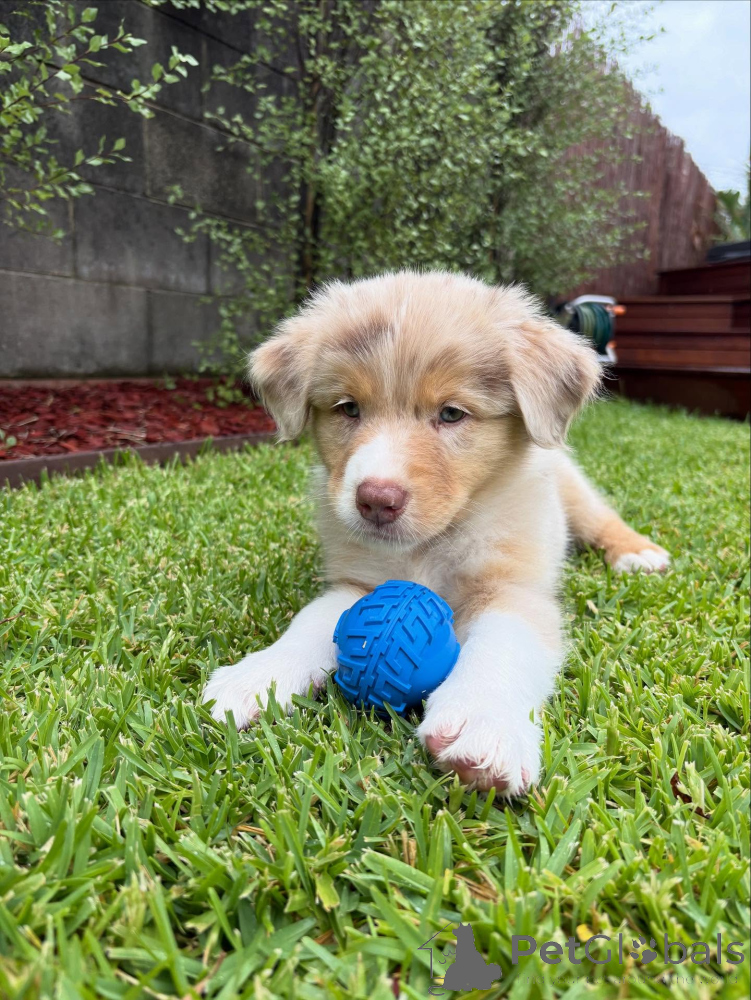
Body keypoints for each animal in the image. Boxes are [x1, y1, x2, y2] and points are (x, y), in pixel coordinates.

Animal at [203, 271, 669, 796]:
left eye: (451, 414)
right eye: (348, 408)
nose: (375, 500)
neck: (430, 545)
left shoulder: (514, 589)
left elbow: (502, 648)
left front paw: (484, 723)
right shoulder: (360, 583)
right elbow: (309, 622)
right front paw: (256, 677)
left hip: (572, 490)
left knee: (603, 517)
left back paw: (636, 553)